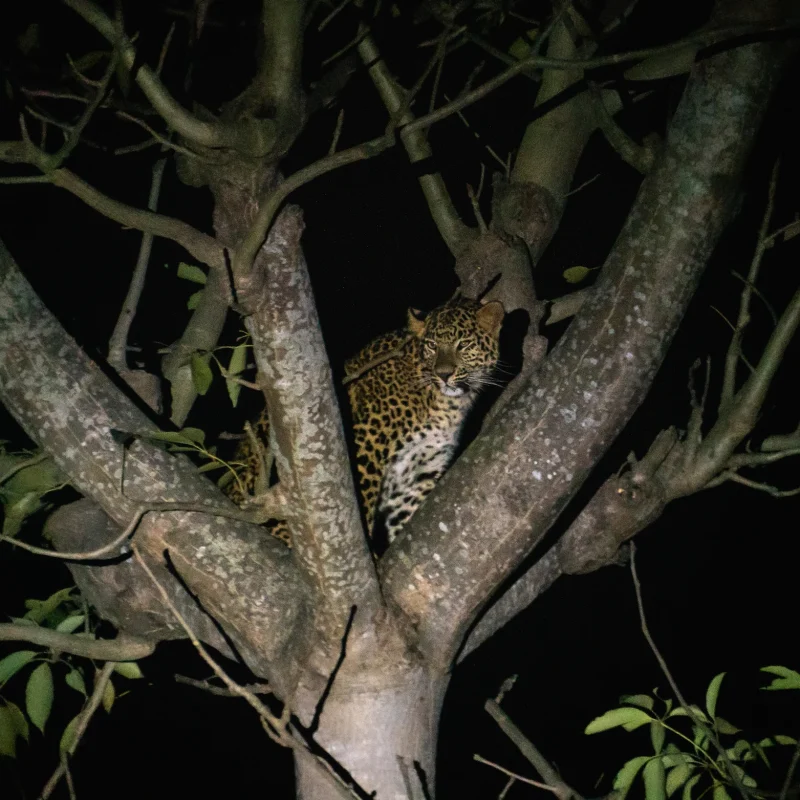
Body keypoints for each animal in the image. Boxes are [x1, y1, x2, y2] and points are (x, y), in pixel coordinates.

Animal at [222, 298, 504, 549]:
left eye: (463, 344)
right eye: (433, 346)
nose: (444, 374)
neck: (449, 406)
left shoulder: (419, 474)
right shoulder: (366, 448)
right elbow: (365, 508)